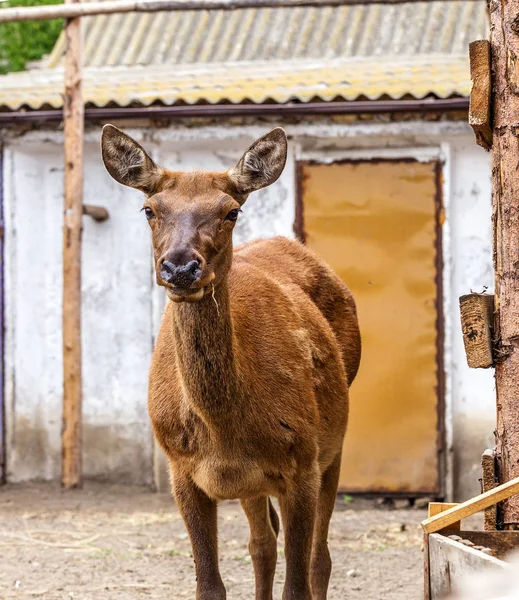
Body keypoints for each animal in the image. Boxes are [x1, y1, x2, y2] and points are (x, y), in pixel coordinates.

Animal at [100, 123, 362, 600]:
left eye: (231, 212)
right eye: (149, 209)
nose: (180, 268)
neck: (225, 429)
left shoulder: (302, 464)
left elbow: (297, 585)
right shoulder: (182, 471)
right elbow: (210, 585)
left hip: (333, 441)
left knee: (320, 558)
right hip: (254, 483)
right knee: (262, 544)